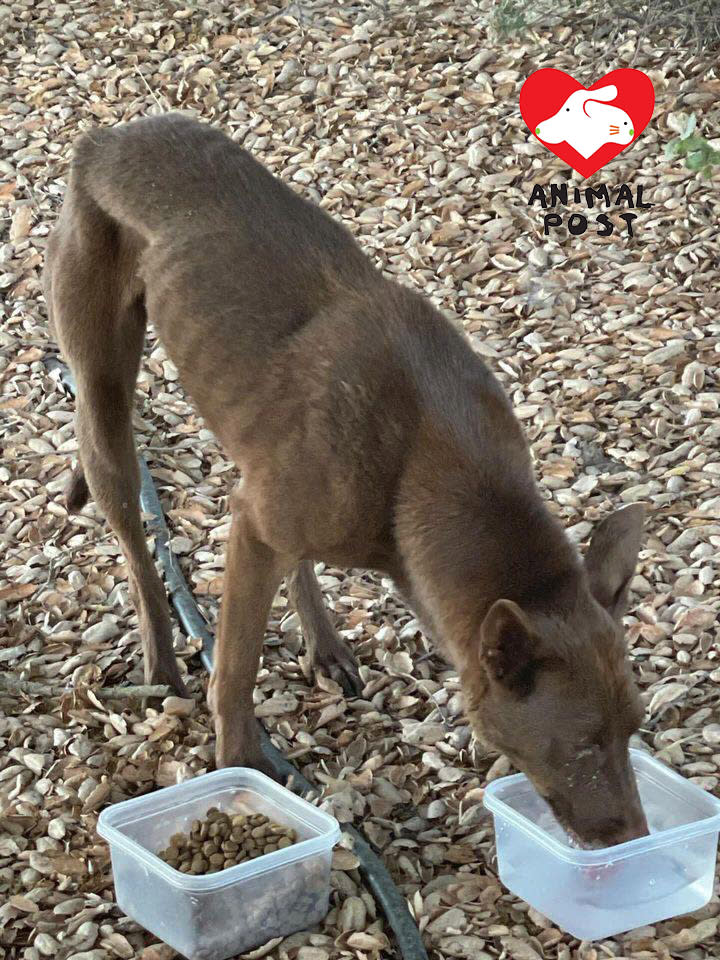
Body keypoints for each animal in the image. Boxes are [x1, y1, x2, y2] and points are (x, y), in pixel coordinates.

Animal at [46, 114, 652, 848]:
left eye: (634, 731)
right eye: (585, 745)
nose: (638, 840)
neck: (436, 461)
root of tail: (102, 141)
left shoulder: (270, 514)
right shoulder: (256, 528)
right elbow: (235, 670)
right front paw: (238, 769)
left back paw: (323, 643)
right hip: (105, 394)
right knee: (136, 549)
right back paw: (161, 659)